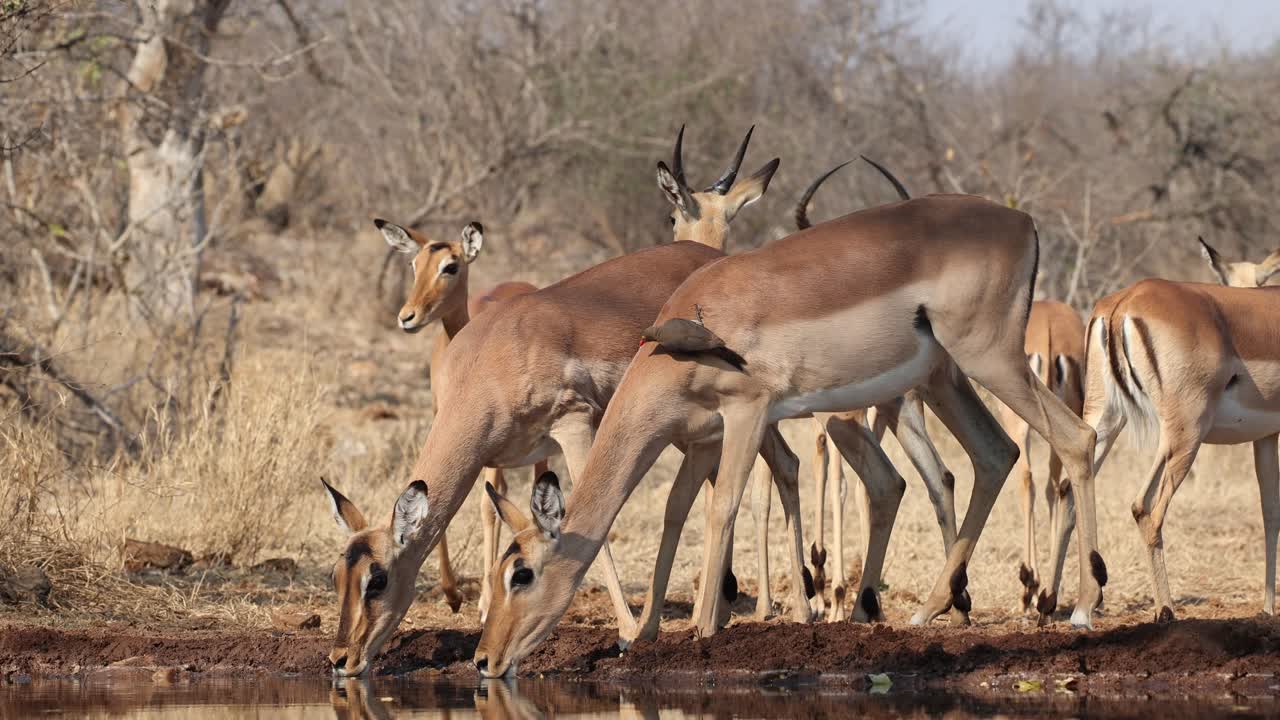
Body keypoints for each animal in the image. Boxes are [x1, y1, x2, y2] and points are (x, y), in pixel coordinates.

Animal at [373, 218, 543, 620]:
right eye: (413, 264)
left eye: (451, 266)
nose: (407, 316)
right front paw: (452, 594)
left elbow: (487, 506)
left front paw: (483, 600)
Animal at [475, 174, 1108, 678]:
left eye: (522, 574)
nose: (484, 659)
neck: (681, 338)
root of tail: (1021, 221)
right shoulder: (701, 437)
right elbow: (676, 510)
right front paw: (647, 634)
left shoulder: (747, 411)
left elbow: (723, 505)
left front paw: (704, 630)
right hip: (948, 378)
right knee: (993, 456)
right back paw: (926, 610)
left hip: (988, 360)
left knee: (1076, 438)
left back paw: (1079, 607)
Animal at [1045, 238, 1280, 623]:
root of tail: (1124, 303)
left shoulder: (1265, 436)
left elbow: (1269, 512)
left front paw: (1267, 609)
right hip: (1185, 434)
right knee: (1145, 508)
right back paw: (1165, 612)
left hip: (1105, 419)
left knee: (1068, 488)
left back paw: (1056, 607)